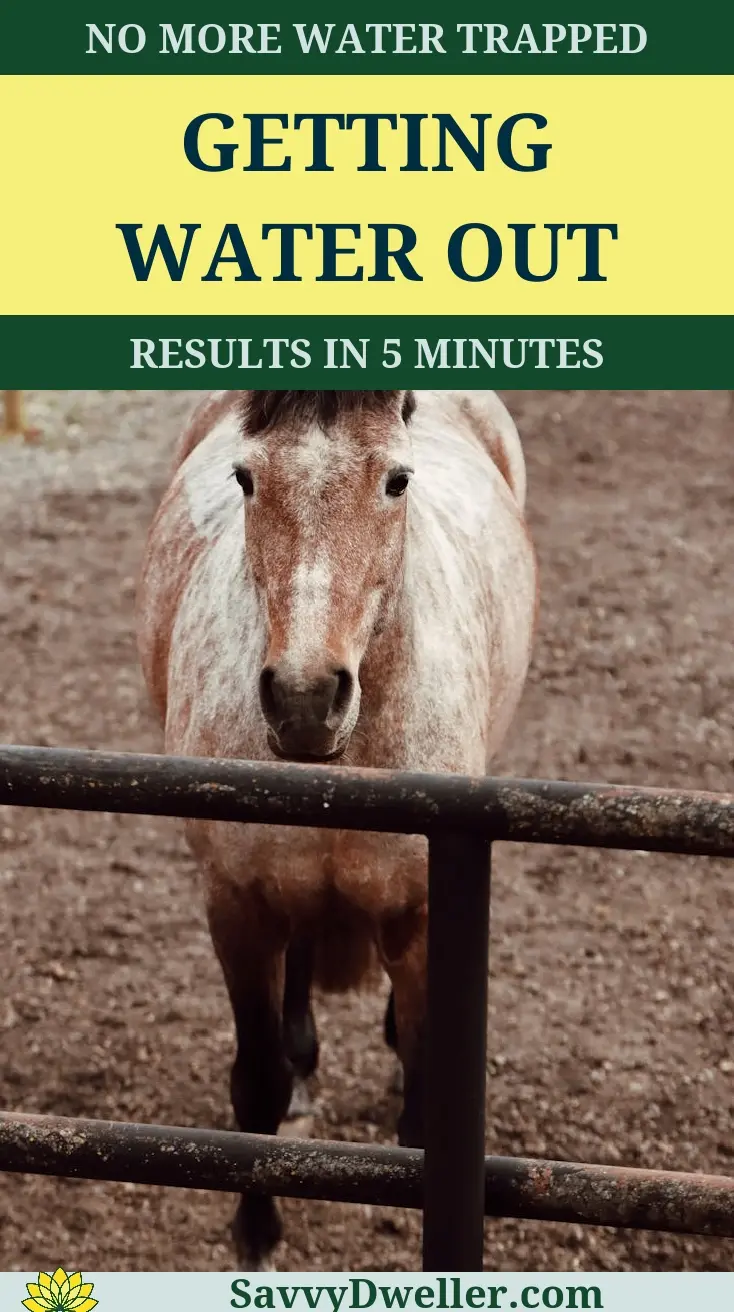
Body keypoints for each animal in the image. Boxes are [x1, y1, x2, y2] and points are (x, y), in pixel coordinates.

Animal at [137, 388, 537, 1268]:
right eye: (246, 477)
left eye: (397, 479)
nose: (304, 697)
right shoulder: (238, 905)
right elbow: (256, 1082)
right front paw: (256, 1237)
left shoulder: (420, 909)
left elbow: (425, 1090)